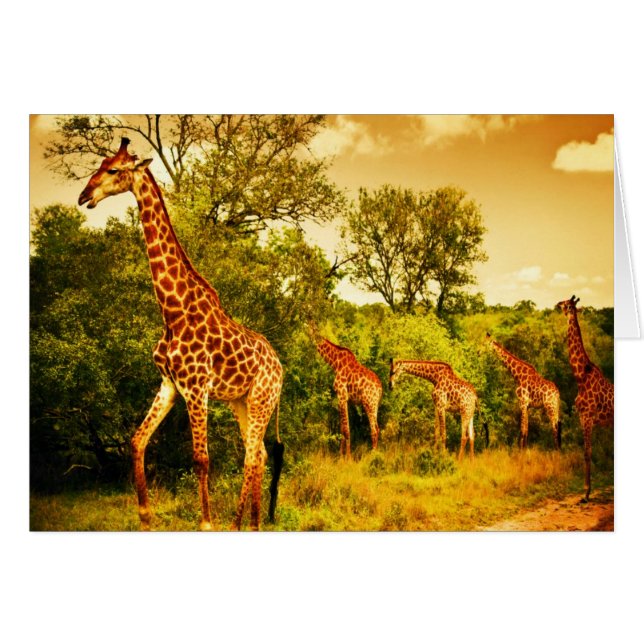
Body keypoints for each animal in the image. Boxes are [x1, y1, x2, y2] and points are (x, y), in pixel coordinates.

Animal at [78, 138, 284, 531]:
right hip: (241, 401)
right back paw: (252, 523)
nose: (84, 196)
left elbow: (201, 459)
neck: (172, 311)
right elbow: (137, 441)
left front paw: (206, 523)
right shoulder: (169, 385)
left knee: (252, 455)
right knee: (260, 452)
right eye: (99, 164)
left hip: (261, 398)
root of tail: (281, 366)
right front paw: (145, 516)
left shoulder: (196, 388)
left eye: (114, 170)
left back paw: (237, 524)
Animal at [308, 324, 382, 457]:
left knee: (374, 429)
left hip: (369, 403)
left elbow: (346, 429)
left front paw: (347, 457)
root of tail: (380, 388)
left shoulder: (342, 395)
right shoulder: (343, 398)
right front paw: (340, 454)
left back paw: (372, 455)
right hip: (375, 405)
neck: (335, 363)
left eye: (312, 331)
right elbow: (342, 428)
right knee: (377, 428)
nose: (312, 340)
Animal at [556, 295, 614, 502]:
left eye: (566, 303)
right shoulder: (585, 418)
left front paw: (586, 493)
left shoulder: (587, 417)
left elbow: (587, 452)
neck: (581, 375)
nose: (556, 304)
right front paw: (587, 490)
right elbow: (588, 452)